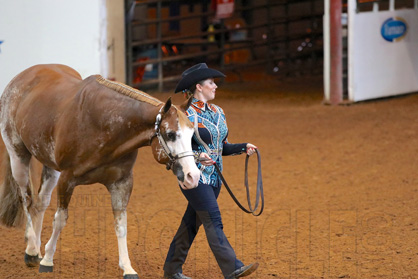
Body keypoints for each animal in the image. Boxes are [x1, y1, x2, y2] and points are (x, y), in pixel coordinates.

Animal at [0, 64, 200, 278]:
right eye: (170, 134)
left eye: (192, 134)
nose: (193, 176)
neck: (103, 123)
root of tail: (20, 78)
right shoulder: (67, 179)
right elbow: (60, 219)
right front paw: (47, 260)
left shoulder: (122, 183)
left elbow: (121, 225)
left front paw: (127, 267)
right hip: (18, 156)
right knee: (26, 199)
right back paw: (31, 249)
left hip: (50, 167)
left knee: (40, 203)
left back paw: (35, 249)